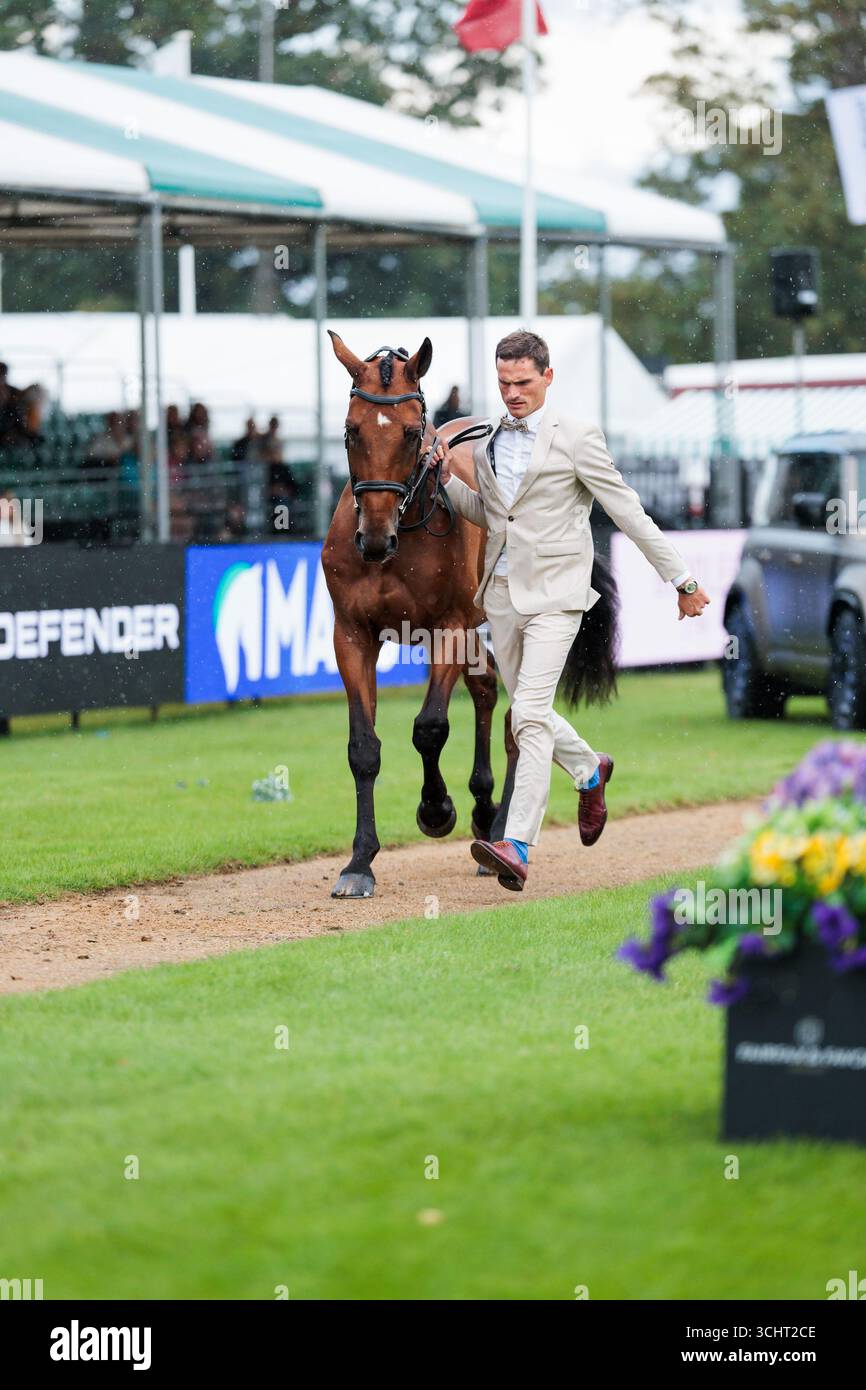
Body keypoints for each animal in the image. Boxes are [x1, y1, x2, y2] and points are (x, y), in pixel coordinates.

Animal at [322, 332, 620, 899]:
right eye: (351, 430)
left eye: (412, 432)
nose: (374, 538)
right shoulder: (350, 633)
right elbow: (362, 747)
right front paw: (360, 861)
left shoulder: (451, 629)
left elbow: (430, 728)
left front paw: (436, 809)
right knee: (486, 694)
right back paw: (486, 812)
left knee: (514, 720)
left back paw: (500, 830)